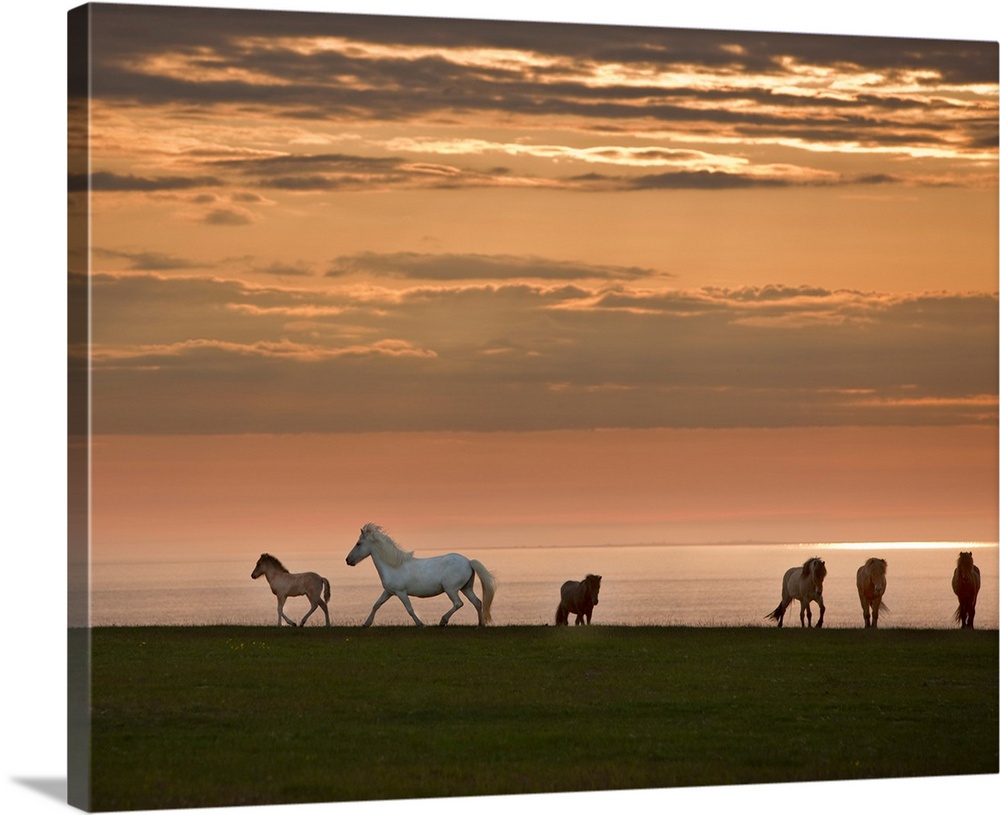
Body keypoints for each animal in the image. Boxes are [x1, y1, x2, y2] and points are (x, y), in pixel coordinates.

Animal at [346, 524, 498, 628]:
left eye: (358, 543)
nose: (348, 560)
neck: (393, 566)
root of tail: (468, 561)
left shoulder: (401, 592)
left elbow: (409, 609)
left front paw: (421, 624)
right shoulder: (389, 592)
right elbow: (376, 605)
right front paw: (366, 623)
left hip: (451, 589)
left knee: (458, 603)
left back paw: (443, 621)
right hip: (466, 588)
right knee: (477, 602)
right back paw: (480, 625)